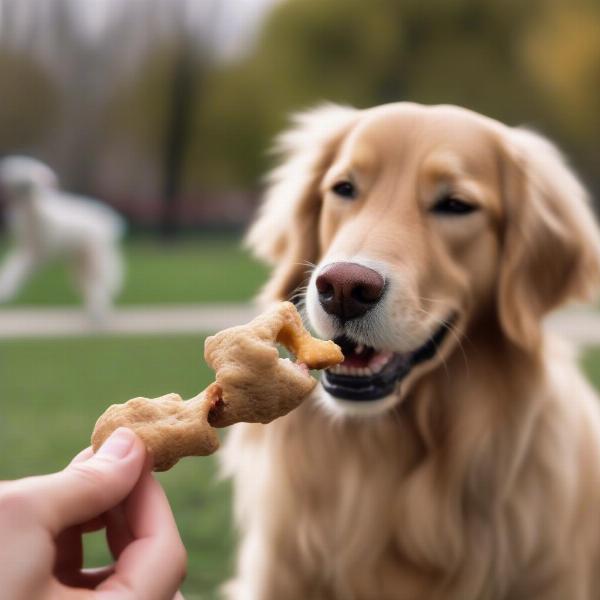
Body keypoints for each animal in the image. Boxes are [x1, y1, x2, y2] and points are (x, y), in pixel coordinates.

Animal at [0, 157, 124, 322]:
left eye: (36, 177)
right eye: (19, 174)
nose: (29, 185)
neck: (33, 211)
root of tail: (106, 223)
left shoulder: (38, 249)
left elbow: (19, 267)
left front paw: (5, 290)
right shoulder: (27, 244)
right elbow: (13, 265)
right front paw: (5, 288)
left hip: (93, 255)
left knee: (100, 282)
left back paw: (99, 312)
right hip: (79, 261)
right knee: (87, 283)